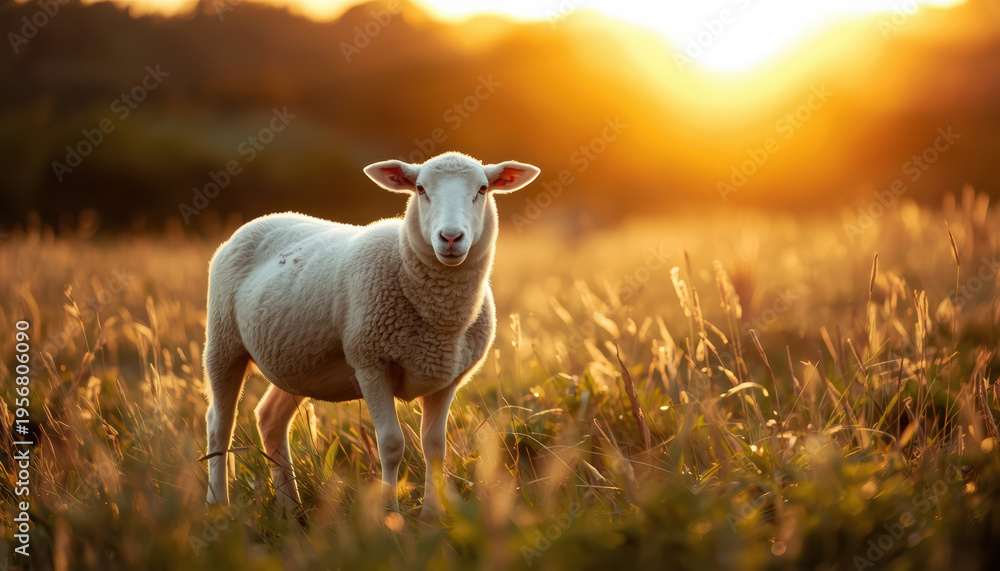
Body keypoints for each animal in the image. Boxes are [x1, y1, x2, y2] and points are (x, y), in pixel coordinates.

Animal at [202, 151, 540, 519]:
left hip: (296, 363)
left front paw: (432, 515)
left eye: (482, 189)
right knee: (219, 424)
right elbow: (391, 444)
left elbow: (435, 446)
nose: (450, 238)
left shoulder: (447, 378)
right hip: (223, 341)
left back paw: (291, 508)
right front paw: (389, 514)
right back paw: (218, 504)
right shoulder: (370, 363)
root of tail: (260, 220)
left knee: (270, 419)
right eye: (420, 189)